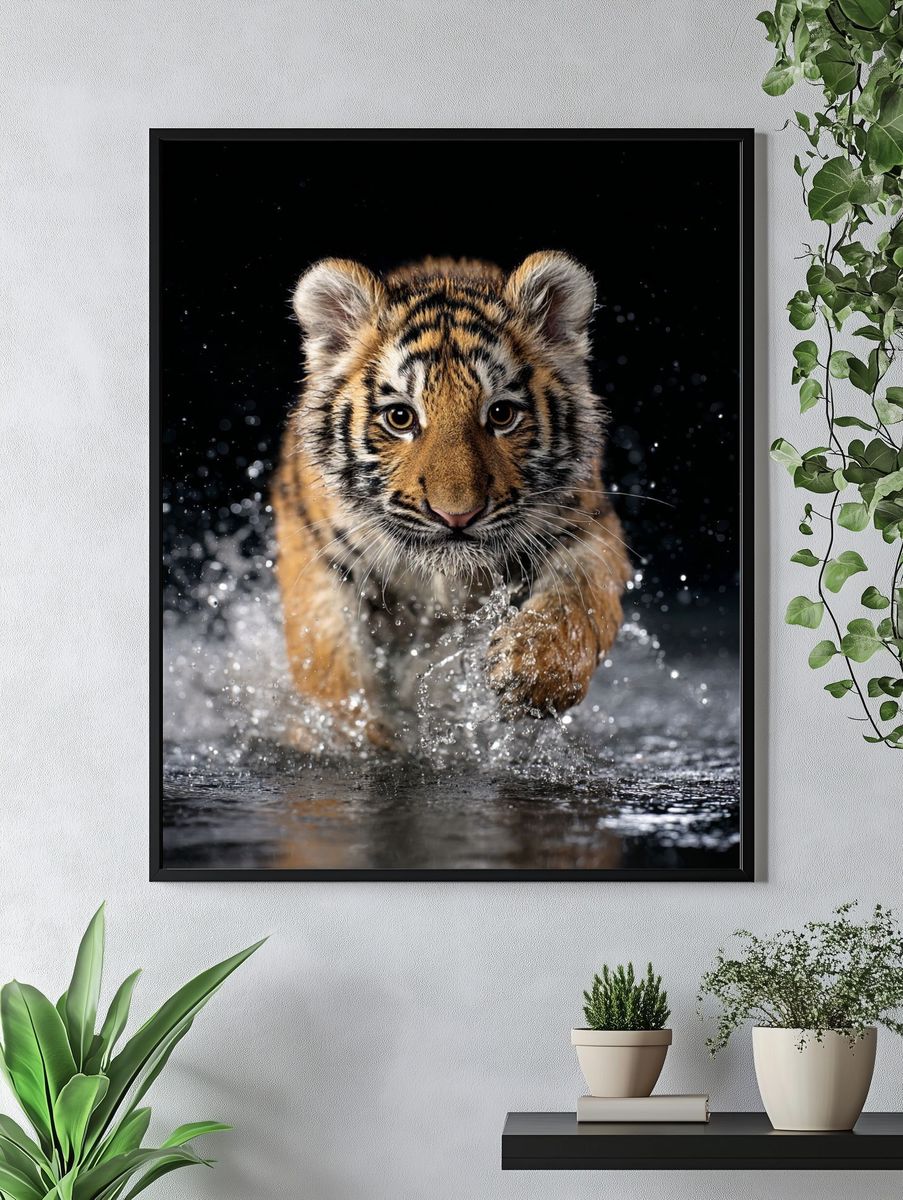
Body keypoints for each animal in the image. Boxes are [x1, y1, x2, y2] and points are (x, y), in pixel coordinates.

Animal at [272, 251, 632, 748]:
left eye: (501, 414)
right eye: (400, 417)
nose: (456, 515)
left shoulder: (586, 527)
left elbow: (578, 606)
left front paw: (530, 669)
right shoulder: (321, 557)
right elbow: (331, 665)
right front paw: (361, 739)